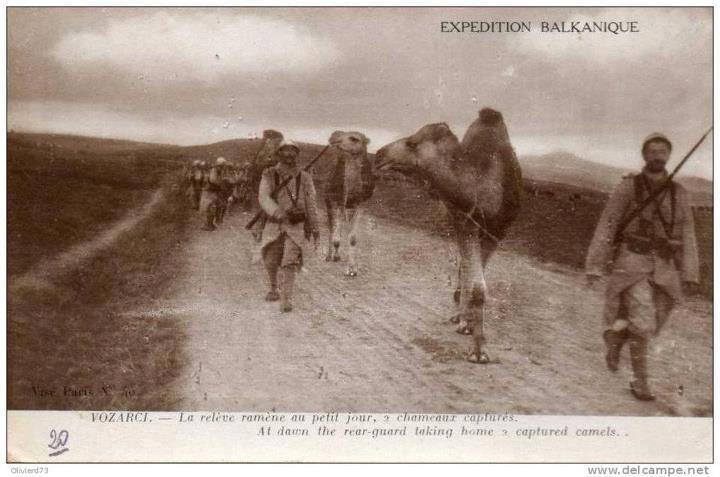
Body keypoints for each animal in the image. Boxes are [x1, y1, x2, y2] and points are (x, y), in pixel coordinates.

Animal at [324, 129, 374, 276]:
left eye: (354, 138)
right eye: (338, 133)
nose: (333, 137)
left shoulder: (361, 204)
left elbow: (352, 238)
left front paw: (353, 269)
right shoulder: (338, 200)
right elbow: (336, 232)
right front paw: (337, 257)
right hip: (329, 199)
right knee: (332, 227)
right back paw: (330, 255)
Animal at [374, 107, 520, 360]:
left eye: (412, 143)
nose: (379, 155)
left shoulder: (497, 230)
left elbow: (479, 284)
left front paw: (479, 345)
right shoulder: (465, 222)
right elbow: (474, 281)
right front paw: (476, 345)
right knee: (464, 266)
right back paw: (461, 318)